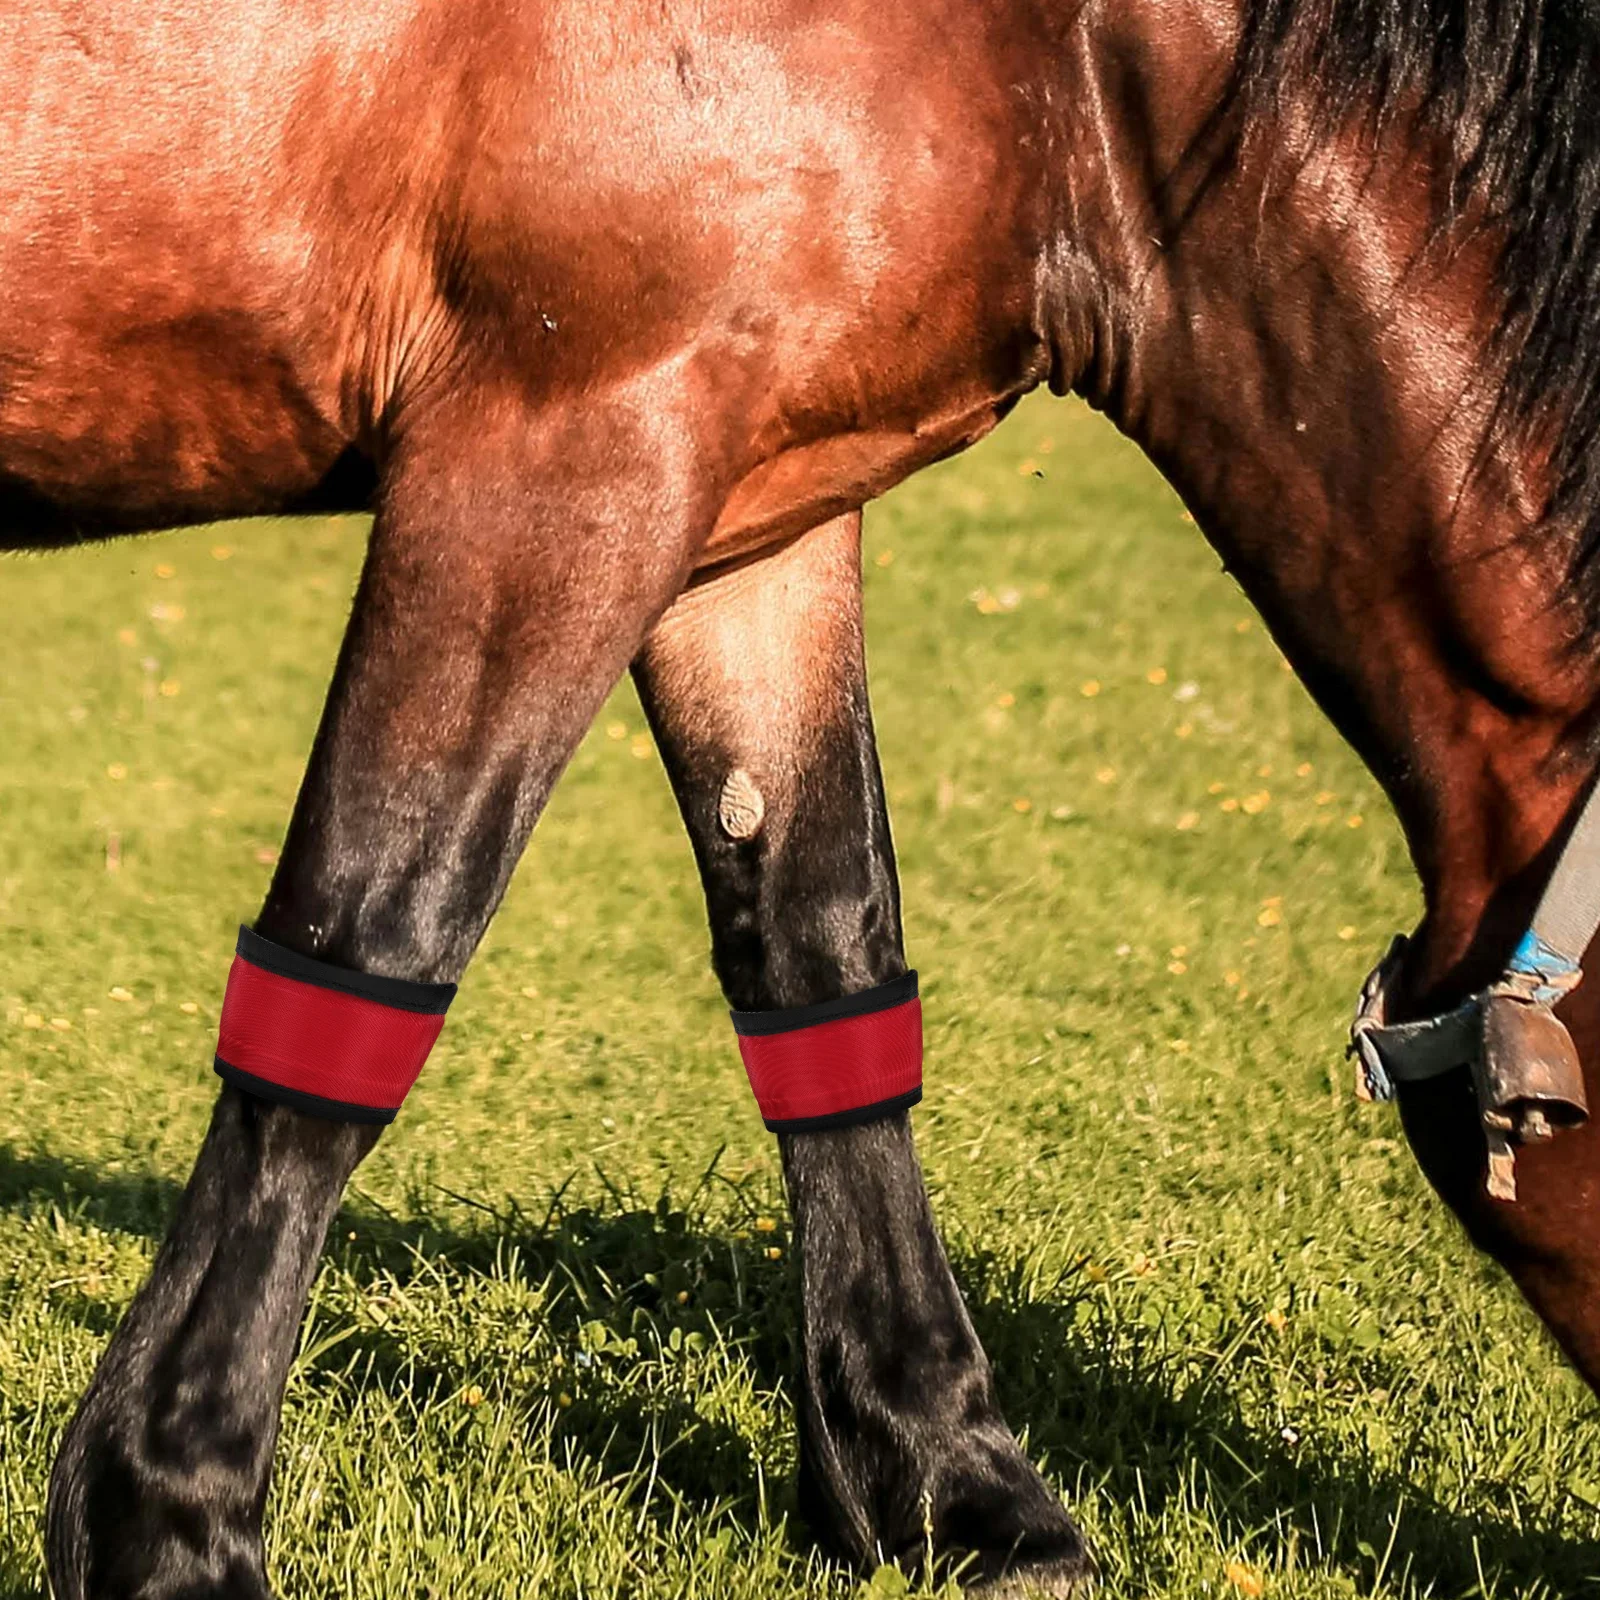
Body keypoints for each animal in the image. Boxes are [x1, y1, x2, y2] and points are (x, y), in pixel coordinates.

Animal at [12, 0, 1600, 1592]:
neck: (1066, 69)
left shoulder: (752, 510)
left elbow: (825, 963)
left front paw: (950, 1481)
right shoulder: (559, 451)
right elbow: (365, 955)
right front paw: (167, 1514)